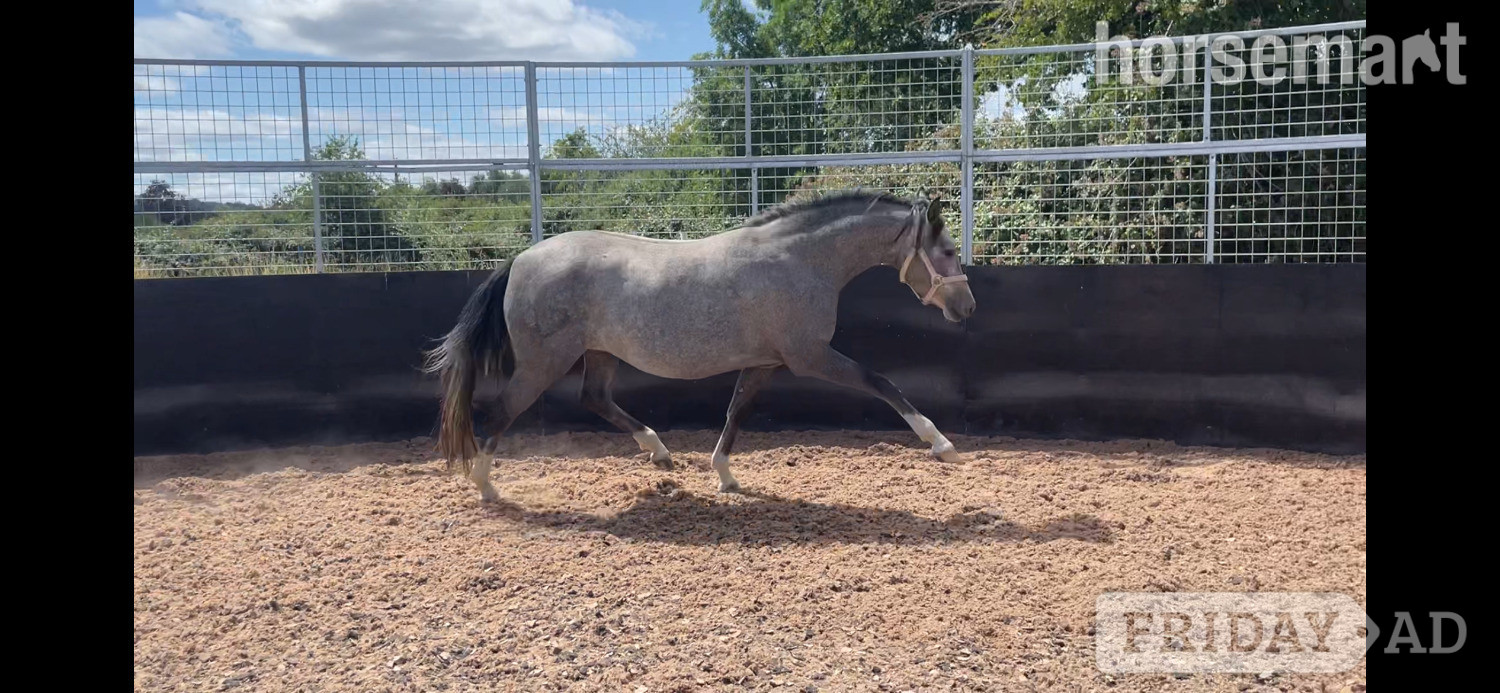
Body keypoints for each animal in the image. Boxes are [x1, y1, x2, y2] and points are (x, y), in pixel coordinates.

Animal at [423, 190, 978, 503]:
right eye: (949, 251)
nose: (967, 307)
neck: (798, 260)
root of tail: (520, 260)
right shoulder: (809, 356)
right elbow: (881, 382)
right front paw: (941, 444)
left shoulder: (765, 361)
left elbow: (736, 412)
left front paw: (725, 476)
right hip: (544, 362)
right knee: (502, 411)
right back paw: (486, 488)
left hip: (599, 353)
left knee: (594, 399)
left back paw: (660, 452)